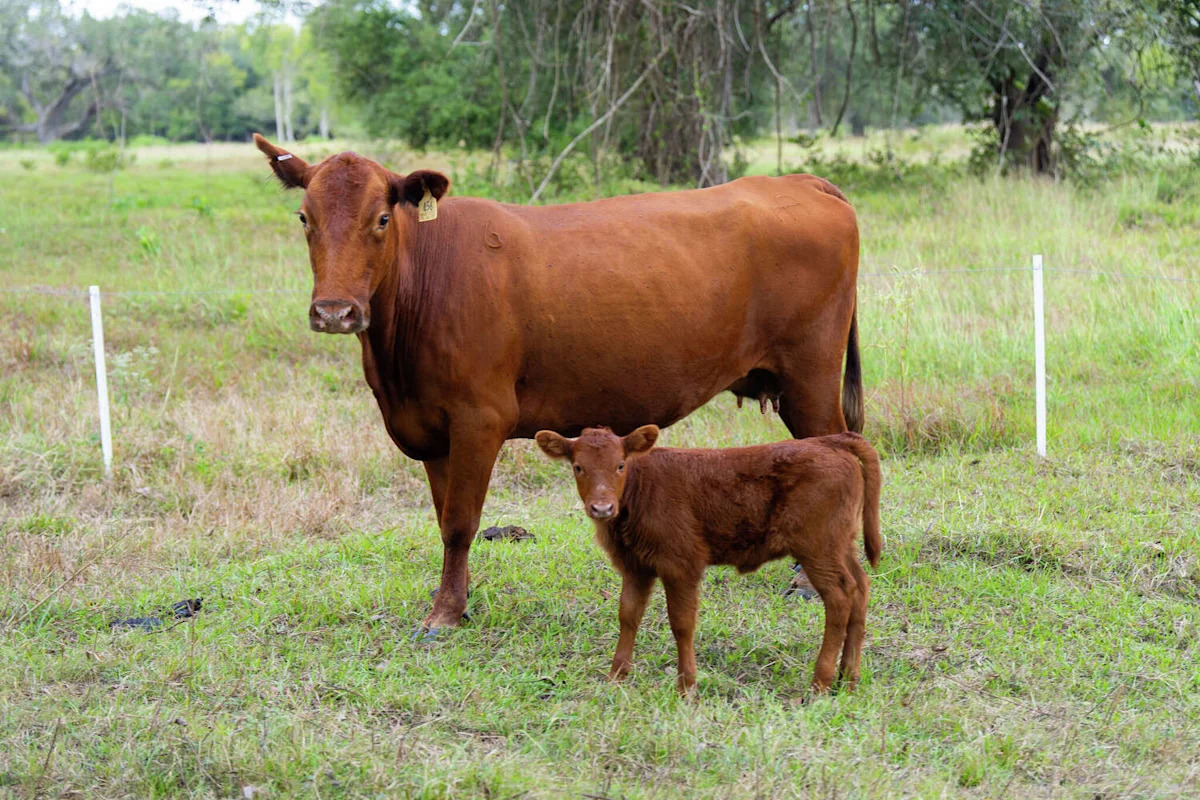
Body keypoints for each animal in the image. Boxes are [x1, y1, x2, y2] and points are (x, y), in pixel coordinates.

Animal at [252, 134, 862, 633]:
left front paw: (444, 614)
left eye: (381, 218)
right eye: (304, 217)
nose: (335, 312)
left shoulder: (479, 417)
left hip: (810, 376)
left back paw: (807, 580)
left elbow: (459, 522)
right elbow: (443, 517)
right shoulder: (429, 428)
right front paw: (456, 600)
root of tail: (797, 182)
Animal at [535, 426, 882, 695]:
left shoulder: (681, 564)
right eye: (578, 467)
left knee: (840, 596)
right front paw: (616, 677)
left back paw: (819, 683)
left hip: (817, 547)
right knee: (860, 587)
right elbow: (628, 615)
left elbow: (681, 623)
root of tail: (829, 441)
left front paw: (686, 686)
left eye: (620, 465)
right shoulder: (635, 567)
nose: (602, 507)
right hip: (840, 544)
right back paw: (848, 679)